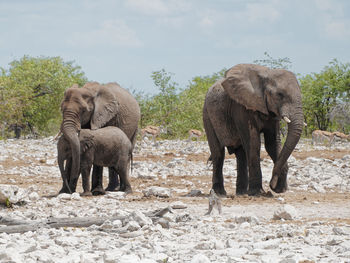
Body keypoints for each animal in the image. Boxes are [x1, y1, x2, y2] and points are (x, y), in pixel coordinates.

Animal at [202, 63, 304, 196]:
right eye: (280, 95)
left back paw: (241, 193)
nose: (271, 184)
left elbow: (272, 143)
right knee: (218, 153)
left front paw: (280, 189)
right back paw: (219, 193)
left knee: (240, 154)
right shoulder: (241, 107)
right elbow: (253, 143)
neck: (267, 74)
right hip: (207, 115)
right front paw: (258, 193)